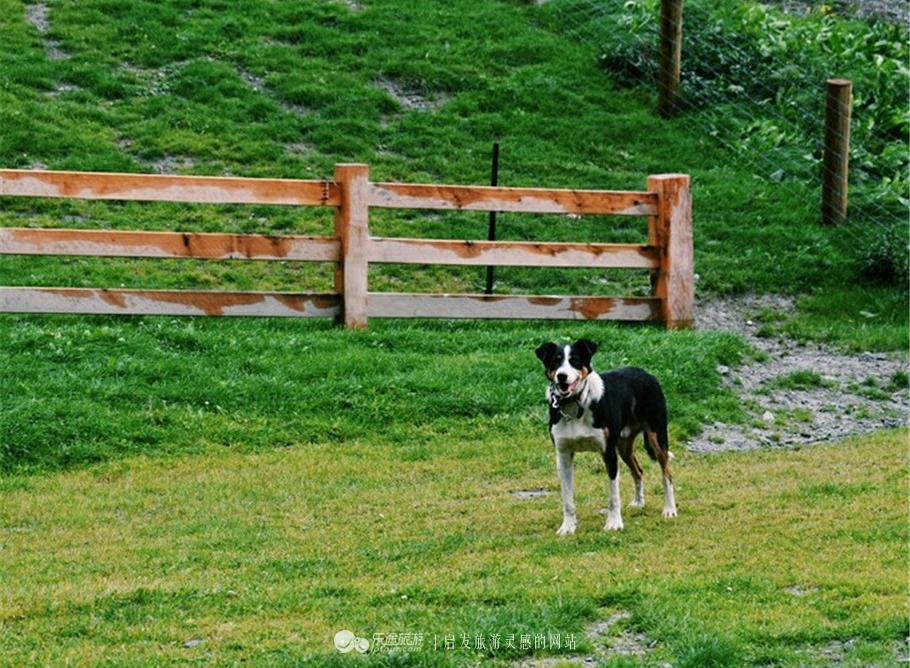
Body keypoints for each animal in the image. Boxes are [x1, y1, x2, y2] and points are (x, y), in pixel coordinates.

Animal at [536, 336, 676, 536]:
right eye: (556, 360)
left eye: (574, 360)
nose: (562, 376)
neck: (576, 405)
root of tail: (646, 373)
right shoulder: (563, 456)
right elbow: (567, 500)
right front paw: (568, 526)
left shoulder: (609, 453)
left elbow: (613, 496)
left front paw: (614, 523)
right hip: (624, 447)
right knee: (638, 471)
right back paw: (638, 502)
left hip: (657, 437)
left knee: (667, 474)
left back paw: (670, 509)